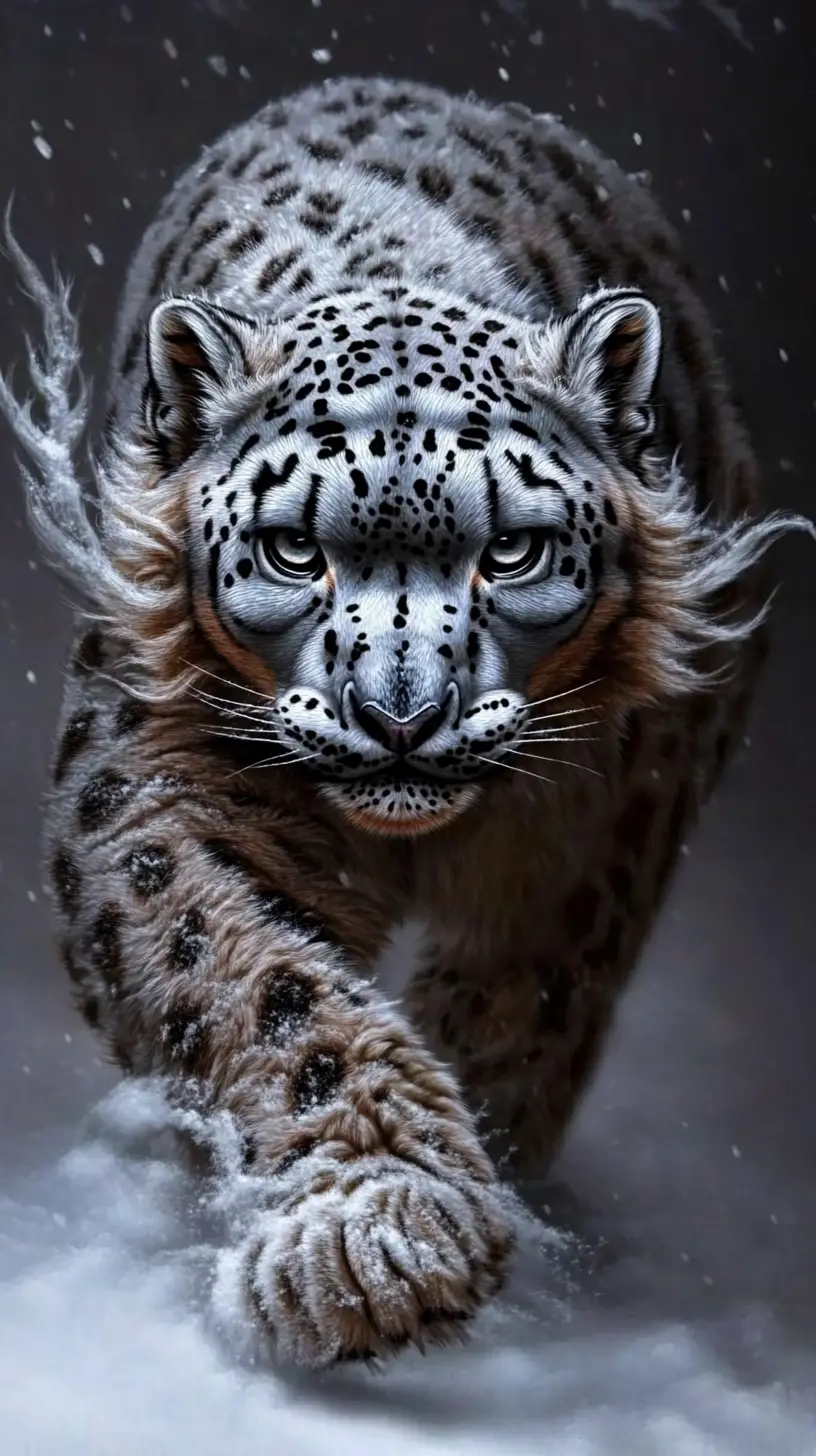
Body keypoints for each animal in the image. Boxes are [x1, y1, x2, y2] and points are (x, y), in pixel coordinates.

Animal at [1, 75, 811, 1370]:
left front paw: (461, 1204)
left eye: (513, 549)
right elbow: (244, 972)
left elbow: (525, 1006)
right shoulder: (153, 783)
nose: (401, 716)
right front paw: (379, 1232)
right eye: (294, 549)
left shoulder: (591, 834)